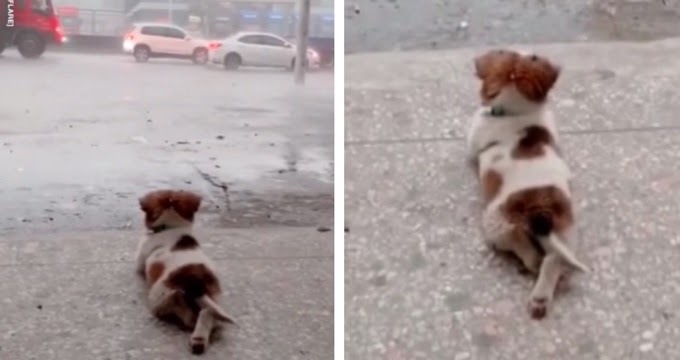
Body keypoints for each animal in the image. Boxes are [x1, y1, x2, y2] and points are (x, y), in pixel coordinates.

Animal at [135, 190, 236, 352]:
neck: (172, 227)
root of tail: (196, 281)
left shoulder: (140, 259)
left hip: (157, 296)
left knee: (182, 311)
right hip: (215, 300)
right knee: (208, 314)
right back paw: (199, 339)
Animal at [468, 48, 588, 318]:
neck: (517, 110)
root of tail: (540, 206)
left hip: (495, 221)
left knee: (520, 243)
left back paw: (531, 266)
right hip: (566, 230)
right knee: (553, 260)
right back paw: (541, 298)